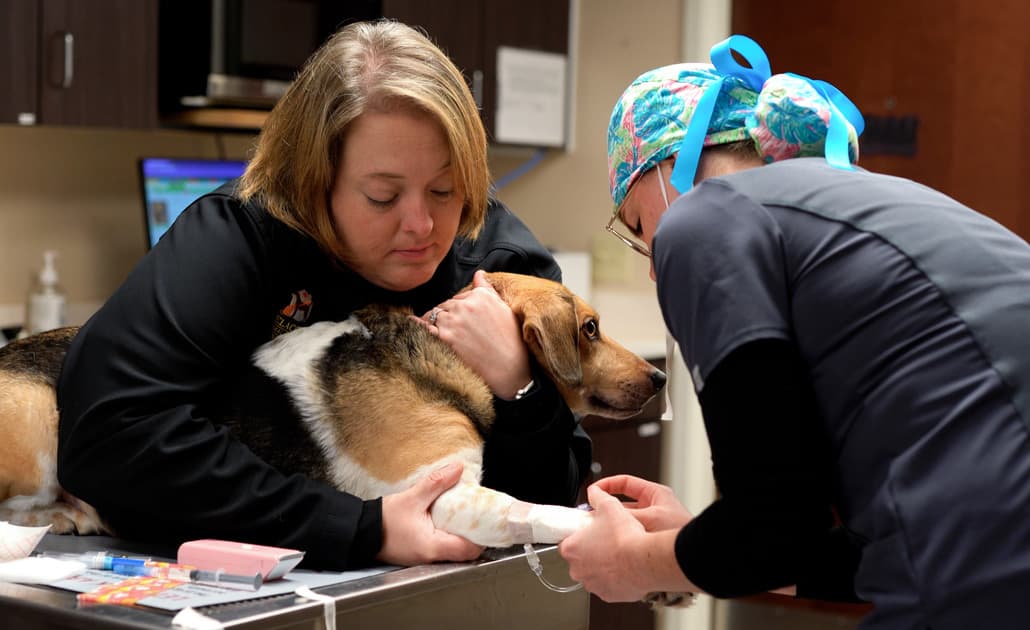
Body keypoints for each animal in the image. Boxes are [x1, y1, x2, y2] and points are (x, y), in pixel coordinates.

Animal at [0, 273, 667, 547]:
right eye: (590, 328)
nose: (661, 376)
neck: (444, 354)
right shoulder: (441, 492)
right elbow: (529, 511)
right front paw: (601, 526)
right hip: (38, 414)